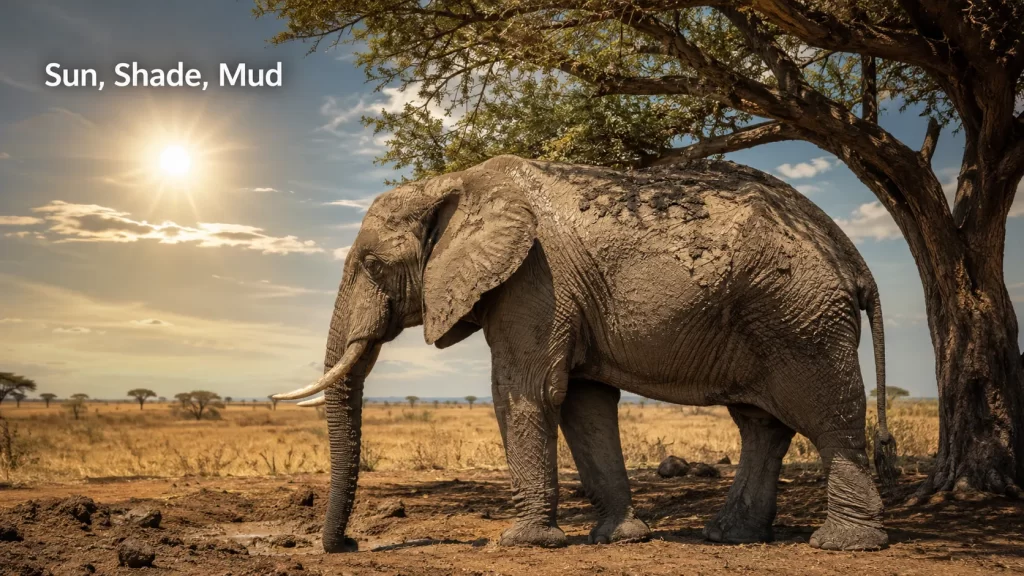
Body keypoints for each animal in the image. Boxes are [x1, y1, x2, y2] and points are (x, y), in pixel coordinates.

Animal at [275, 155, 898, 553]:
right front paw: (618, 539)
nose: (348, 545)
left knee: (827, 415)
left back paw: (844, 545)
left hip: (800, 314)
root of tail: (853, 256)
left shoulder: (532, 279)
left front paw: (521, 543)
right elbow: (584, 402)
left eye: (373, 265)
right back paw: (731, 537)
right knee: (760, 424)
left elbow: (524, 392)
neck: (453, 184)